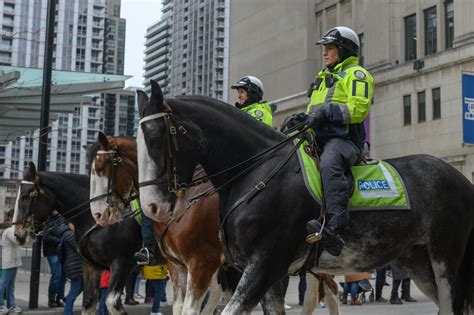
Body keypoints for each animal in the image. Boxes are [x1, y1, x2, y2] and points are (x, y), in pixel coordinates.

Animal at [13, 163, 142, 315]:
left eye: (25, 196)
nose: (17, 233)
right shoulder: (91, 266)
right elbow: (88, 303)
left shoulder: (122, 263)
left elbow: (112, 303)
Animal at [136, 81, 474, 315]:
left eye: (155, 139)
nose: (152, 207)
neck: (256, 171)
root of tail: (460, 178)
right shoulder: (260, 274)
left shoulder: (262, 264)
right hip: (417, 262)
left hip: (445, 259)